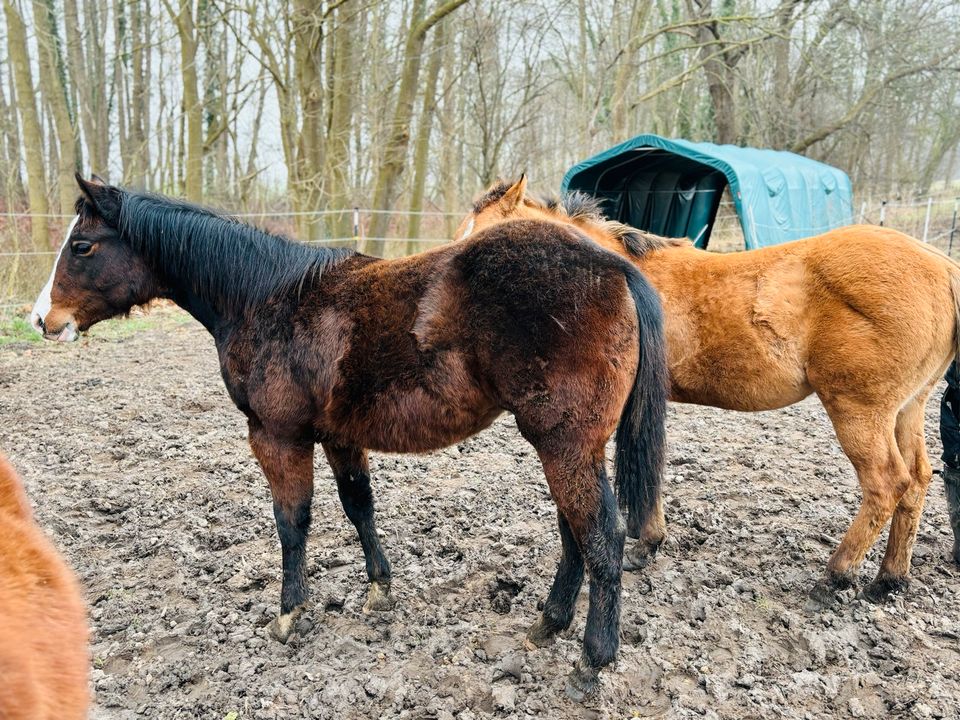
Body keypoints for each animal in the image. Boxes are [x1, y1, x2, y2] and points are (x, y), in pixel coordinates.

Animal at [33, 174, 672, 696]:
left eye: (82, 246)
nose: (42, 319)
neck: (264, 298)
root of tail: (616, 269)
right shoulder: (340, 435)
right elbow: (358, 506)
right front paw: (379, 591)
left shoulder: (277, 436)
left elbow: (292, 521)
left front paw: (289, 615)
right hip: (567, 445)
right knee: (574, 534)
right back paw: (548, 624)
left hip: (564, 444)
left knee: (602, 536)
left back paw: (591, 662)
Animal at [456, 177, 960, 604]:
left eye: (481, 244)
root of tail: (942, 267)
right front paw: (649, 544)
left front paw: (645, 543)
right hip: (907, 409)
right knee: (917, 479)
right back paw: (889, 580)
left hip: (860, 411)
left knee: (887, 483)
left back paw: (835, 575)